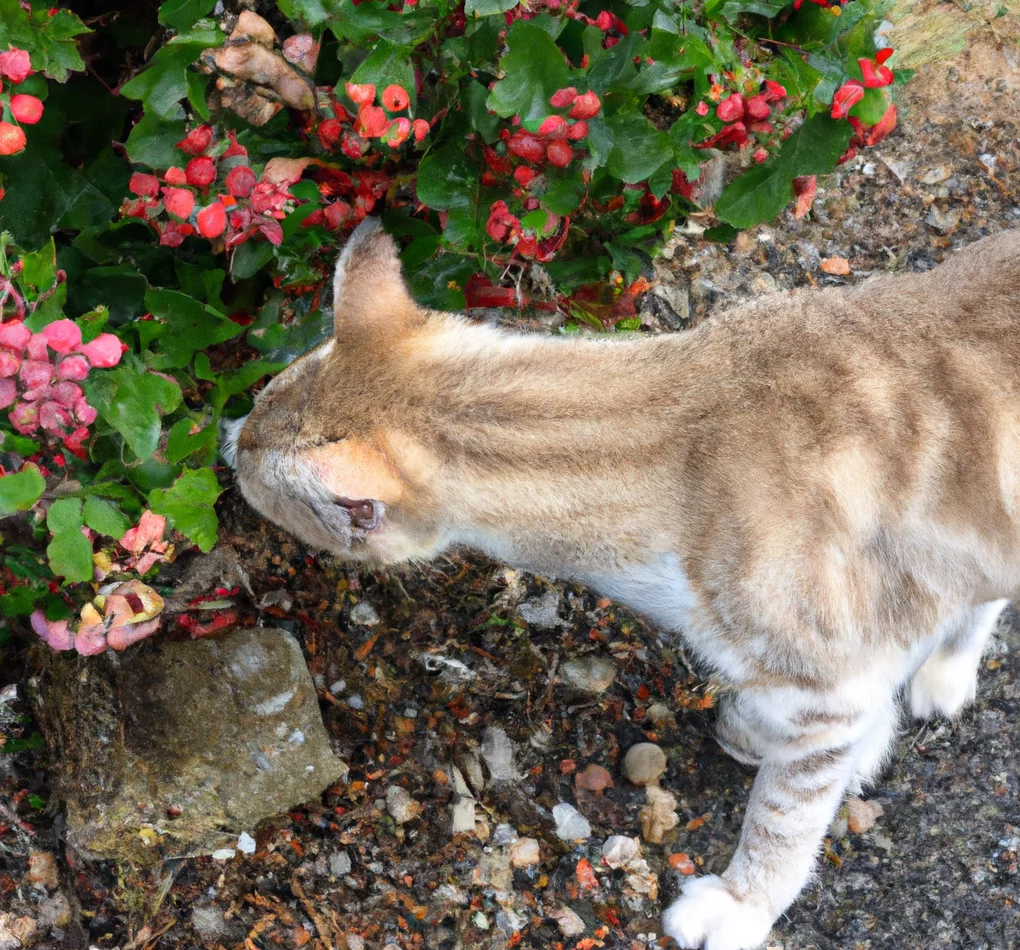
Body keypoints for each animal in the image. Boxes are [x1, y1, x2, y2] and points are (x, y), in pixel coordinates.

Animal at [223, 219, 1020, 946]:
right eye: (258, 404)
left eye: (251, 466)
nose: (229, 438)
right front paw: (834, 736)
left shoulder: (827, 678)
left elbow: (784, 818)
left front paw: (742, 904)